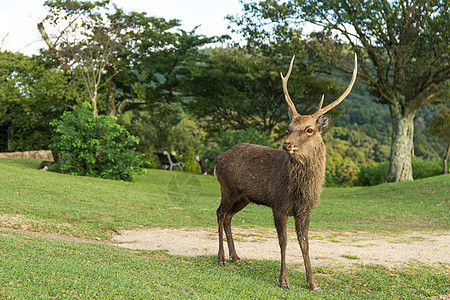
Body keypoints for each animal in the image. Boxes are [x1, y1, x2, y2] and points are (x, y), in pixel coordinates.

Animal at [214, 53, 358, 290]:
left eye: (309, 129)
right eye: (289, 127)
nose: (286, 144)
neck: (299, 191)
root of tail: (218, 159)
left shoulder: (305, 210)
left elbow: (305, 243)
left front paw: (313, 283)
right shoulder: (279, 205)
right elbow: (284, 241)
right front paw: (284, 281)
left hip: (244, 197)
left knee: (228, 217)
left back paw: (236, 257)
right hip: (228, 188)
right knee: (219, 213)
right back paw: (222, 259)